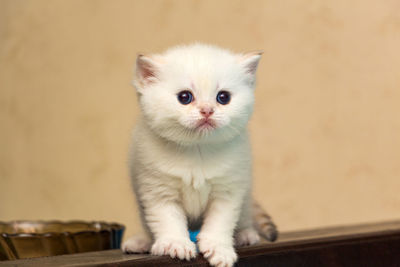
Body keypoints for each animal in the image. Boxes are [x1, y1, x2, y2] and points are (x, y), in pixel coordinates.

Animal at [123, 43, 276, 266]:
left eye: (223, 97)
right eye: (184, 97)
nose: (207, 110)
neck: (197, 150)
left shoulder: (228, 190)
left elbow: (221, 222)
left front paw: (219, 248)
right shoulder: (158, 190)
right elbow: (167, 220)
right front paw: (175, 244)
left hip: (246, 195)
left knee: (245, 216)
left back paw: (244, 234)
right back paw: (142, 242)